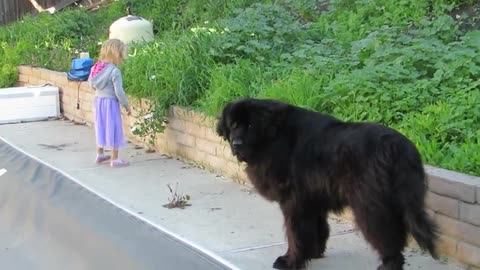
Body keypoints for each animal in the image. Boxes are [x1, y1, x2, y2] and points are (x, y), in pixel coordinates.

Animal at [217, 98, 438, 270]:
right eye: (233, 125)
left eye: (250, 126)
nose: (236, 144)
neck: (273, 137)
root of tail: (399, 147)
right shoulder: (312, 197)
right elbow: (316, 228)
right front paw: (313, 252)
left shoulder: (294, 201)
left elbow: (294, 233)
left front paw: (290, 261)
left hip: (369, 205)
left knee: (388, 238)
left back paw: (388, 264)